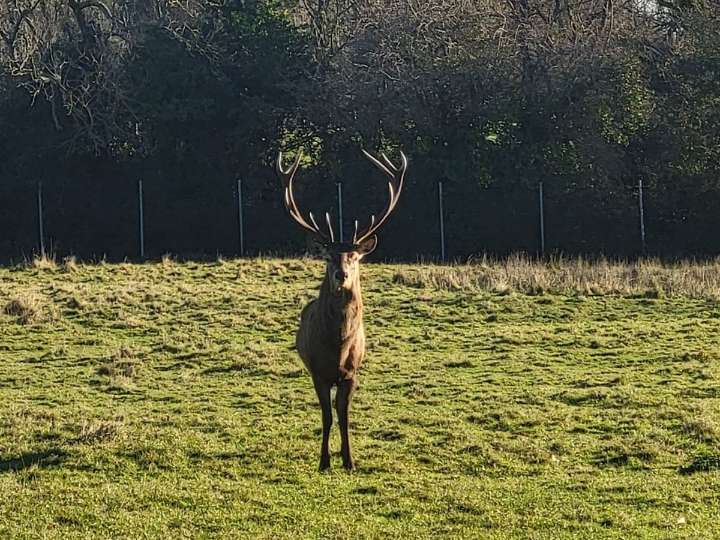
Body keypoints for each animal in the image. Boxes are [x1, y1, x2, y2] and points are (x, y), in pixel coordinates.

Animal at [276, 149, 407, 471]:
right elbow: (326, 416)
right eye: (328, 256)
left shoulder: (351, 373)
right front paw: (324, 461)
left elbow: (344, 416)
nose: (341, 274)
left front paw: (349, 461)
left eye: (354, 256)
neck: (337, 345)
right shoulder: (318, 373)